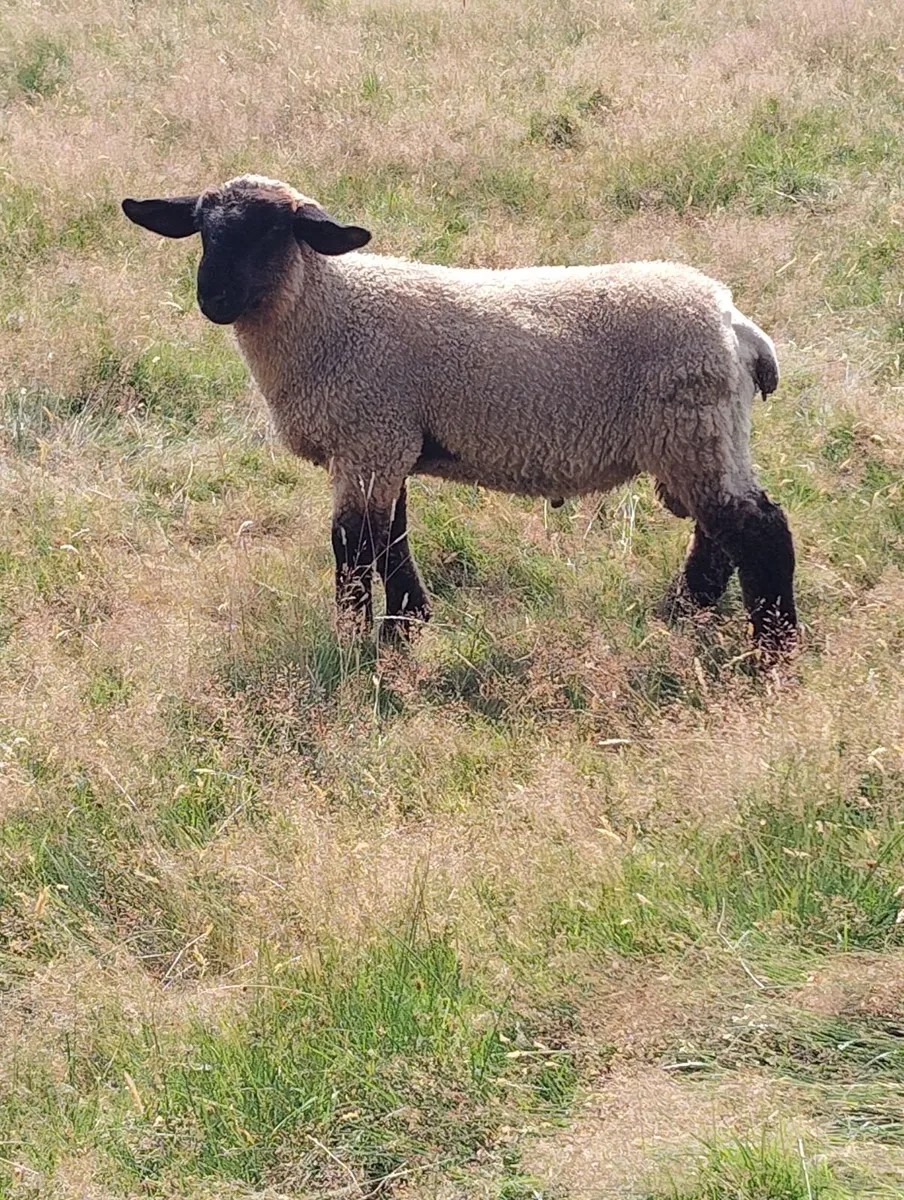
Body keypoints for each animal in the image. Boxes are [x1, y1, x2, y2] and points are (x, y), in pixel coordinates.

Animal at [122, 174, 797, 650]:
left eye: (272, 231)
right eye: (203, 230)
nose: (213, 298)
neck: (330, 311)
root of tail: (736, 325)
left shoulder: (368, 435)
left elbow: (353, 547)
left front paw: (353, 642)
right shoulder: (390, 441)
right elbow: (392, 538)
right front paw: (405, 625)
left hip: (693, 428)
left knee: (760, 531)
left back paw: (773, 651)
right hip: (701, 436)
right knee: (716, 538)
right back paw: (682, 617)